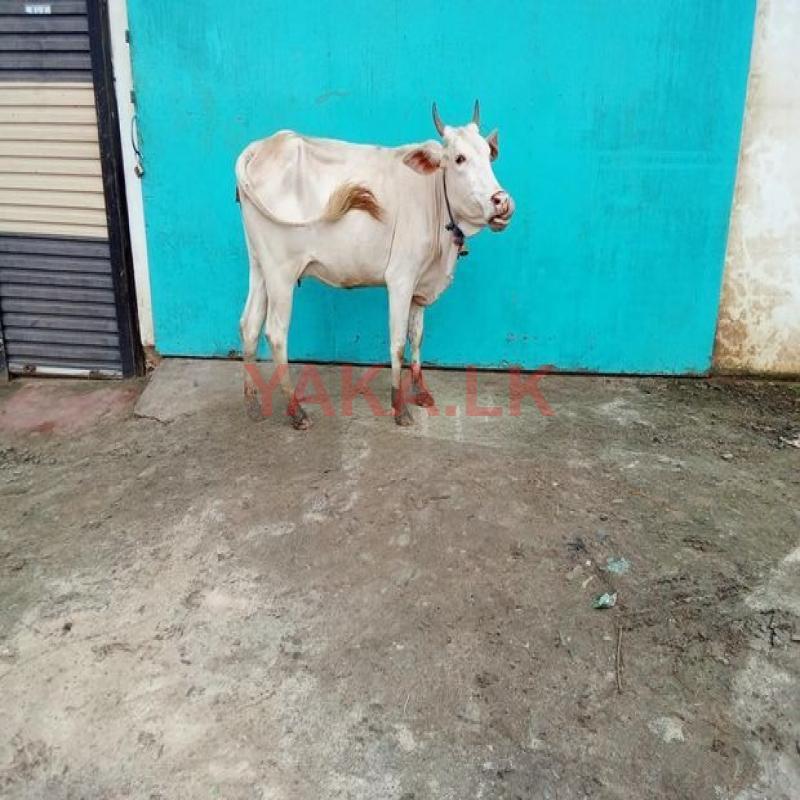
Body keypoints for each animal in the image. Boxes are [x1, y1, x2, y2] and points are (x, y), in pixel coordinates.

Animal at [236, 101, 514, 428]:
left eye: (488, 155)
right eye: (459, 158)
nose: (502, 201)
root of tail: (265, 145)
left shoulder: (420, 284)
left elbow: (417, 336)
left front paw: (421, 393)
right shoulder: (401, 278)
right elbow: (397, 342)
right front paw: (400, 407)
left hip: (260, 266)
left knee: (249, 324)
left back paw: (252, 404)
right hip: (282, 271)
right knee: (276, 332)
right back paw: (296, 411)